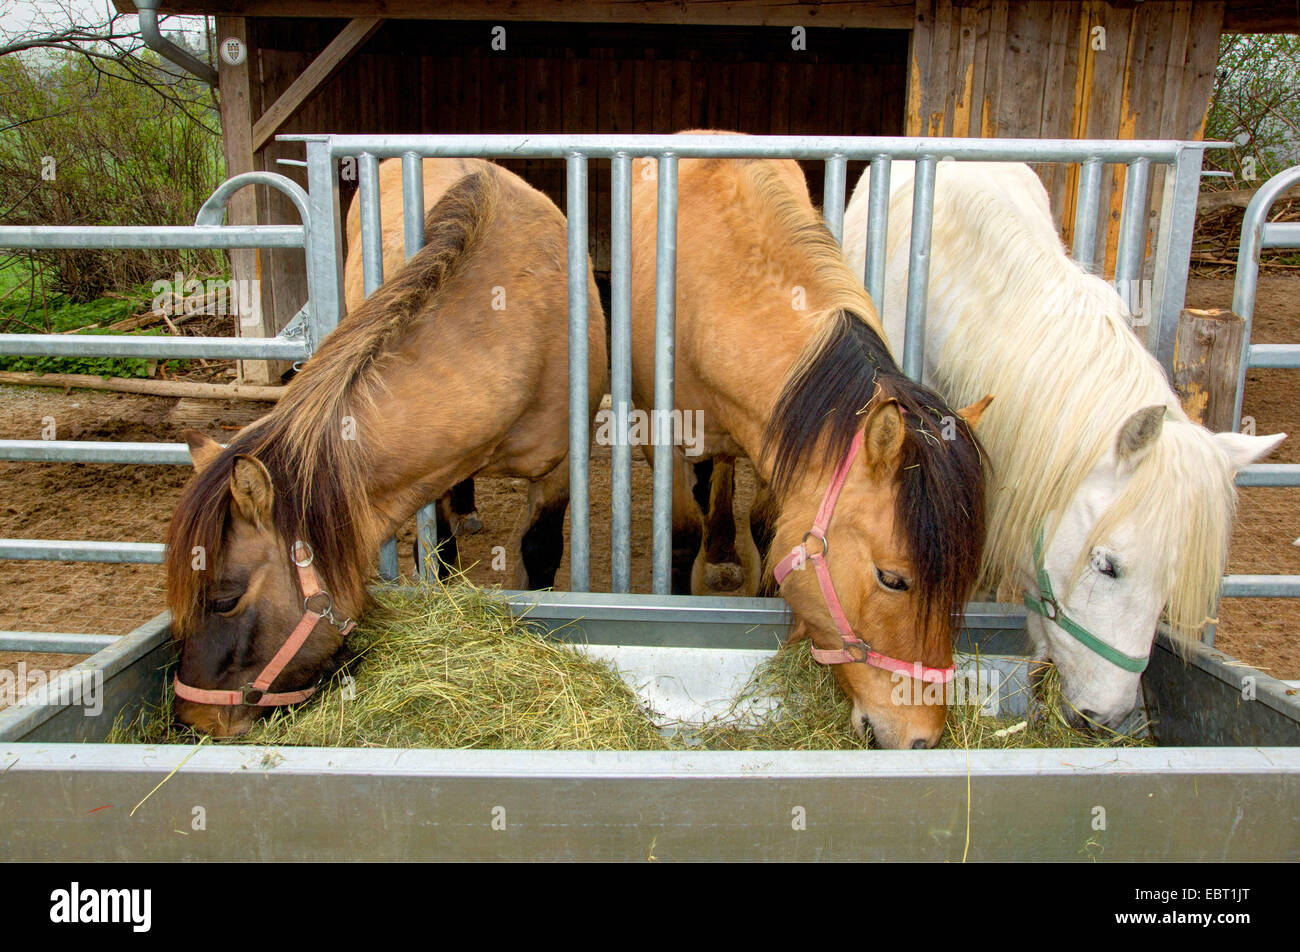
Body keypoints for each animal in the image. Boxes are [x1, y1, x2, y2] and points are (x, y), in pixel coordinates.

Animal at [165, 158, 605, 738]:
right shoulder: (433, 472)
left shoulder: (558, 472)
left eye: (224, 599)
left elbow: (539, 555)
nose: (194, 719)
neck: (523, 318)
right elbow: (437, 552)